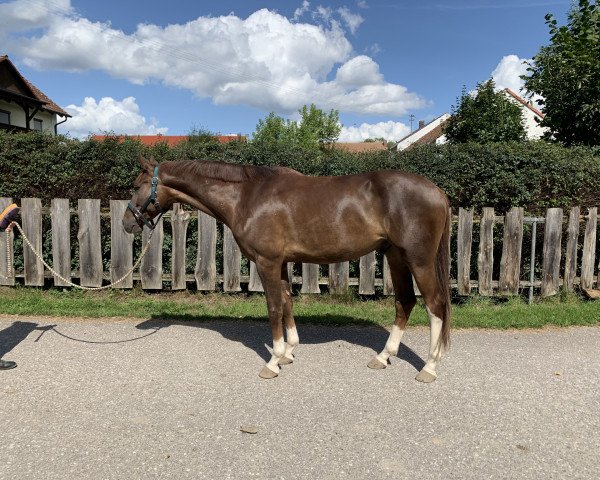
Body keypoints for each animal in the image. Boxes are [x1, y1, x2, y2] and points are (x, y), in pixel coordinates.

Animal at [123, 158, 450, 382]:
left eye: (136, 186)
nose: (128, 223)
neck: (247, 196)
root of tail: (438, 192)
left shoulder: (266, 261)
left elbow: (273, 308)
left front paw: (273, 361)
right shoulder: (280, 262)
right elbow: (287, 302)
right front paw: (289, 352)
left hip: (418, 260)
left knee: (435, 305)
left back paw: (429, 367)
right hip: (395, 257)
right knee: (404, 302)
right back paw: (383, 357)